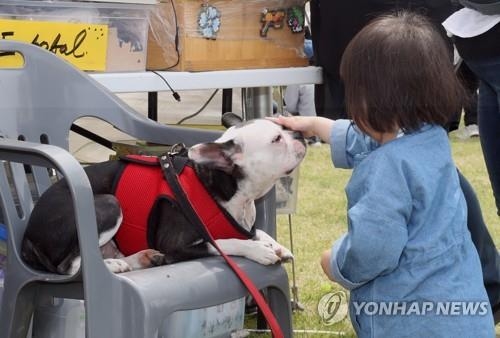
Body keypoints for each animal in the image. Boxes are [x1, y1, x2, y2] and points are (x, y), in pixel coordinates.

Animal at [21, 119, 306, 274]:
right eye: (277, 139)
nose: (300, 133)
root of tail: (27, 237)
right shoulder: (176, 244)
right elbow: (224, 242)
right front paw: (257, 250)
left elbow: (257, 232)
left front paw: (275, 245)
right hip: (109, 204)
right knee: (69, 265)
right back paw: (113, 265)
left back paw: (139, 258)